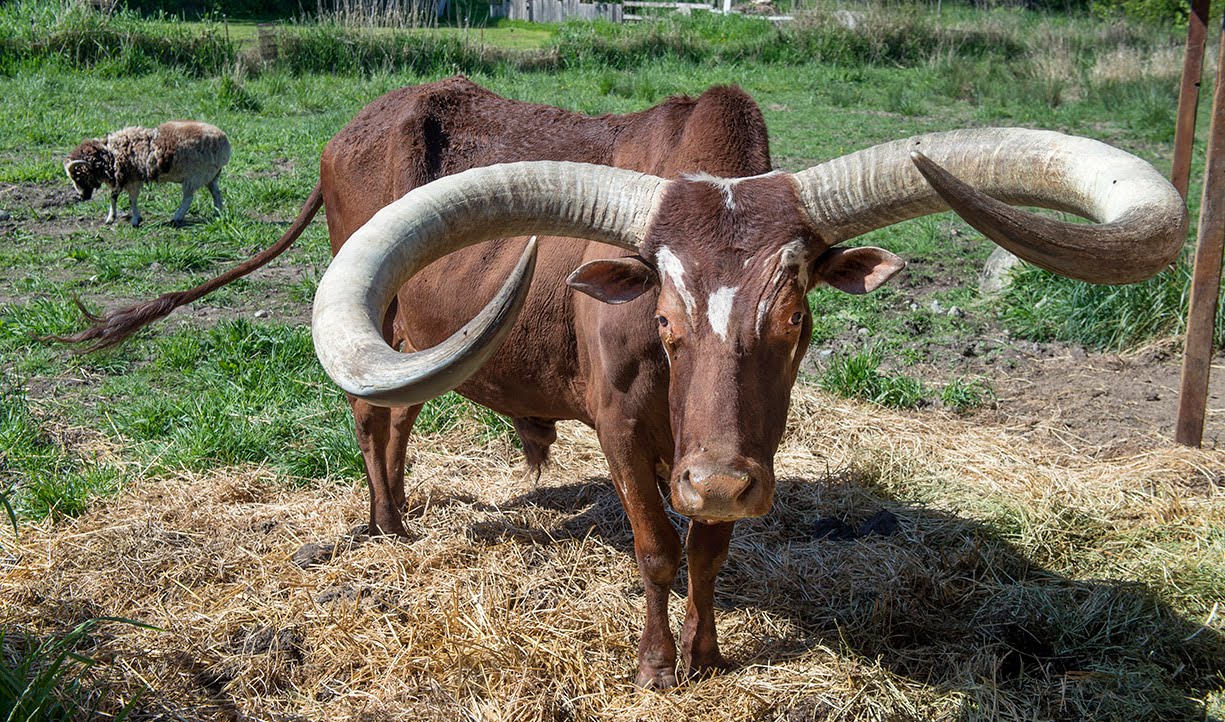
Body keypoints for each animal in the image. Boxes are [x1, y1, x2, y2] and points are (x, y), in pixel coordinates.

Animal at [65, 121, 231, 226]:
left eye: (78, 176)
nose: (82, 197)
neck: (111, 154)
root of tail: (225, 145)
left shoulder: (133, 179)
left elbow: (132, 200)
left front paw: (135, 220)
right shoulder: (121, 178)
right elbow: (113, 196)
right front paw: (111, 218)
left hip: (195, 176)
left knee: (188, 198)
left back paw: (176, 218)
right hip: (210, 175)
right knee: (216, 193)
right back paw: (218, 213)